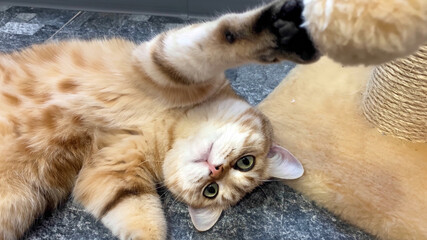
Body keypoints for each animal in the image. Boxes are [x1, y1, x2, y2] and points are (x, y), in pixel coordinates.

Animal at [0, 0, 320, 239]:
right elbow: (215, 43)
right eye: (246, 162)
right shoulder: (158, 63)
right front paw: (280, 30)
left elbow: (140, 216)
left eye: (211, 191)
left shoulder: (111, 175)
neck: (167, 129)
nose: (215, 170)